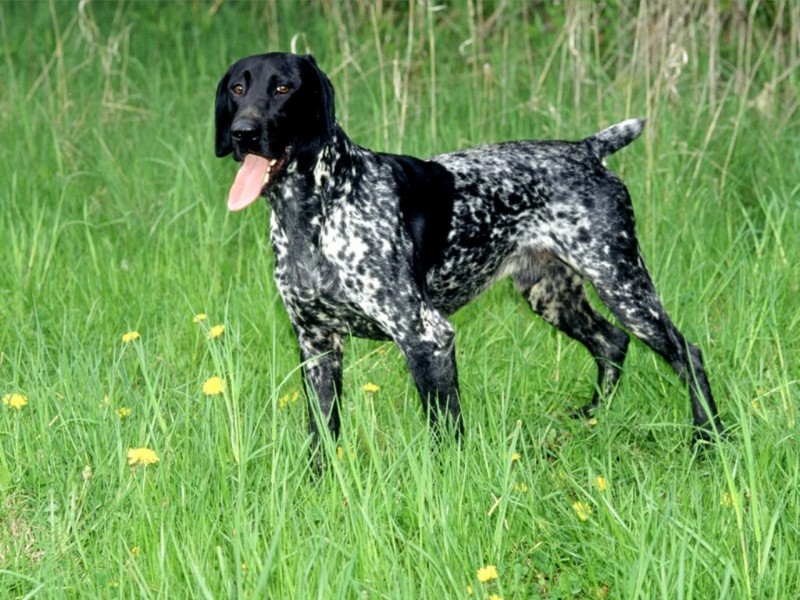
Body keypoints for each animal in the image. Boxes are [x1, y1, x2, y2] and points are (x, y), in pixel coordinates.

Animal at [214, 52, 724, 460]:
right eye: (238, 88)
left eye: (283, 87)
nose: (243, 133)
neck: (313, 213)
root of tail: (586, 150)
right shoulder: (317, 345)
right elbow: (322, 435)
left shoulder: (426, 336)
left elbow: (446, 431)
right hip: (552, 295)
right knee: (611, 342)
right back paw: (594, 418)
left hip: (623, 285)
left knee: (688, 354)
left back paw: (707, 439)